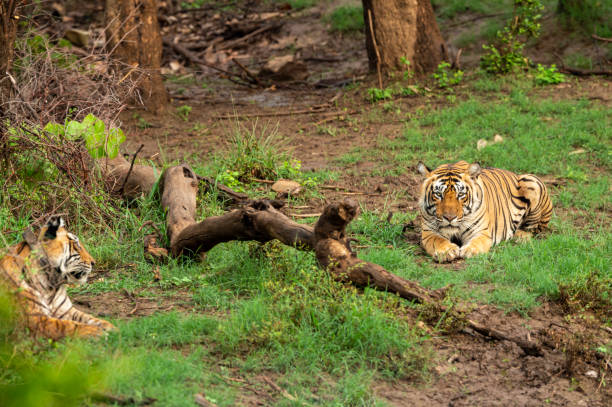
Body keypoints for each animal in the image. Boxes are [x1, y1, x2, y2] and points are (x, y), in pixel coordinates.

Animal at [416, 161, 556, 262]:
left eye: (460, 194)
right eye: (438, 194)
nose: (449, 218)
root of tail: (516, 174)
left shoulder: (481, 231)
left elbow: (477, 242)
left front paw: (469, 250)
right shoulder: (429, 232)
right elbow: (437, 240)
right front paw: (446, 251)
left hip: (531, 181)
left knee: (534, 228)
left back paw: (520, 236)